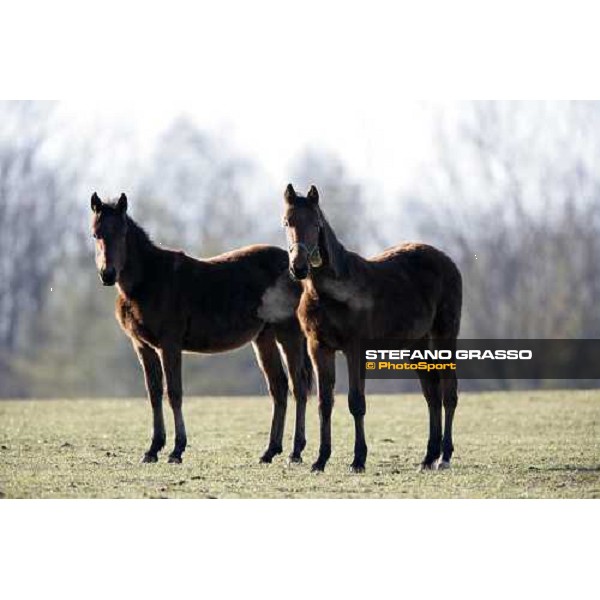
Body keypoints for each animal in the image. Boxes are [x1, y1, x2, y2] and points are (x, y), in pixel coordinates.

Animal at [92, 192, 314, 464]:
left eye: (122, 233)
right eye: (95, 234)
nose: (107, 274)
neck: (148, 281)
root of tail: (297, 270)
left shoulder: (170, 344)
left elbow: (174, 392)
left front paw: (177, 450)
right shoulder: (143, 346)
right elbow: (154, 393)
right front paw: (152, 449)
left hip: (288, 334)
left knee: (298, 386)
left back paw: (295, 451)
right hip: (264, 337)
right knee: (279, 387)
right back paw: (269, 451)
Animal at [282, 183, 464, 474]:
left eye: (316, 223)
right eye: (287, 222)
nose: (298, 267)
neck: (326, 292)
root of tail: (448, 261)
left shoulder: (355, 348)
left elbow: (356, 402)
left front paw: (358, 459)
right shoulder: (318, 347)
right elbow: (324, 402)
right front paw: (320, 460)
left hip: (444, 336)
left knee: (448, 393)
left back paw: (444, 457)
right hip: (417, 344)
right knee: (432, 395)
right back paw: (428, 458)